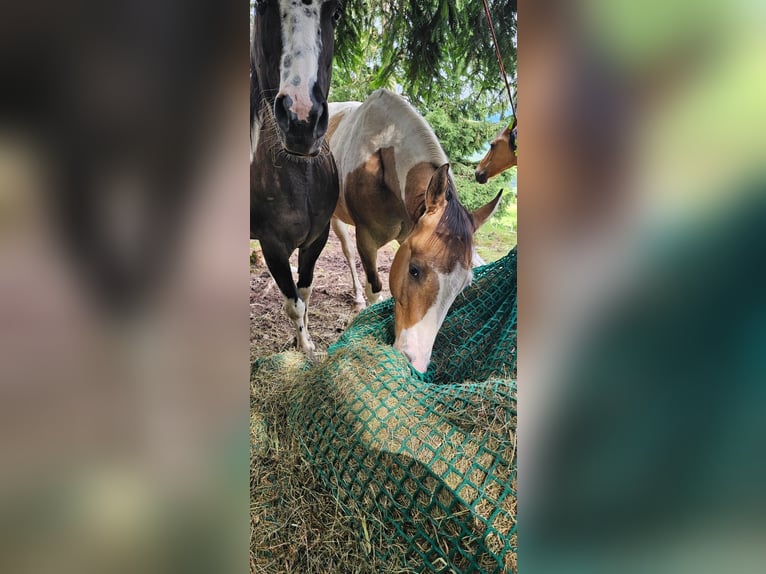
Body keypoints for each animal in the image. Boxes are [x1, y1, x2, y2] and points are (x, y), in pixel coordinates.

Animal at [252, 0, 342, 358]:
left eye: (336, 12)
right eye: (262, 6)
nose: (302, 120)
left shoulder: (317, 238)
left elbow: (304, 293)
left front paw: (305, 343)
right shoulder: (272, 245)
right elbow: (294, 304)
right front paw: (303, 349)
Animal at [328, 90, 504, 374]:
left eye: (464, 285)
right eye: (414, 270)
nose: (416, 362)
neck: (379, 152)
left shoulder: (406, 235)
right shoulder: (366, 239)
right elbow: (374, 288)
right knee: (346, 250)